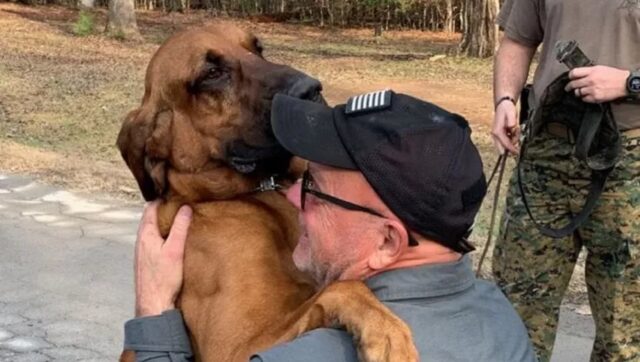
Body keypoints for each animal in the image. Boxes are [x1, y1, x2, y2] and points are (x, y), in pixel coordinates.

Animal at [117, 23, 418, 362]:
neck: (258, 194)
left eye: (257, 49)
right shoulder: (232, 347)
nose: (310, 90)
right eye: (211, 73)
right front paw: (386, 330)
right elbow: (343, 287)